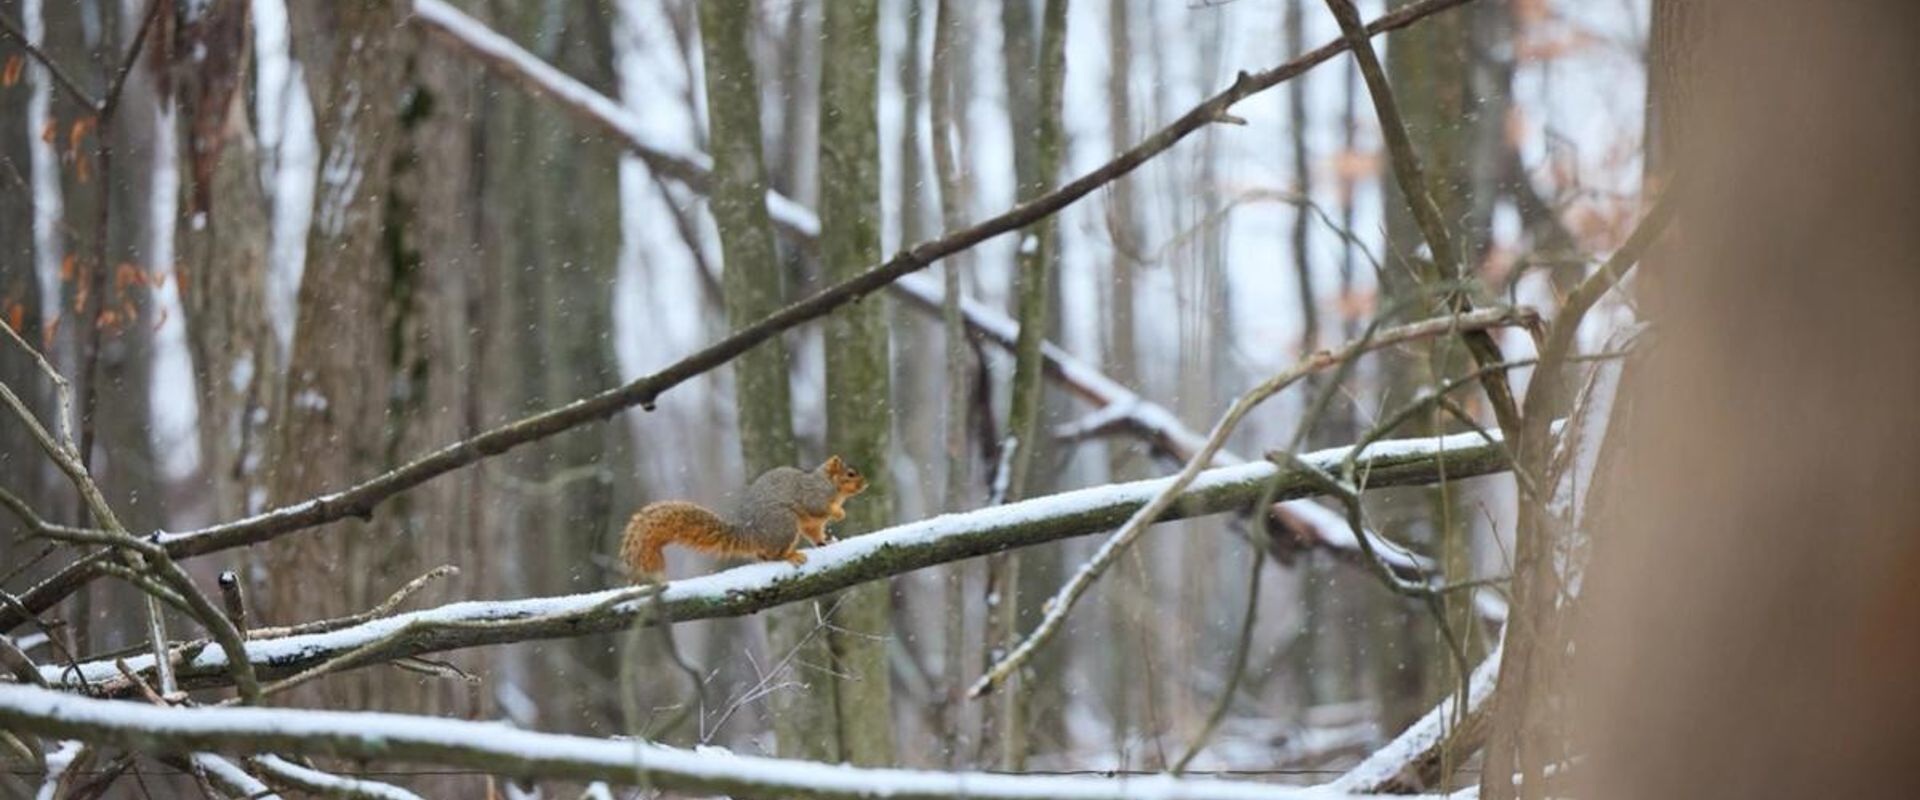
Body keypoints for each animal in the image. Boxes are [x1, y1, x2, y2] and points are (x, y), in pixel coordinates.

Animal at [620, 455, 868, 582]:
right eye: (850, 474)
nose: (866, 484)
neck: (832, 487)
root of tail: (752, 534)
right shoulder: (813, 495)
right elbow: (817, 508)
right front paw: (839, 513)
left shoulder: (812, 525)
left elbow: (815, 534)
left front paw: (827, 542)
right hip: (785, 523)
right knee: (775, 555)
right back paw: (791, 555)